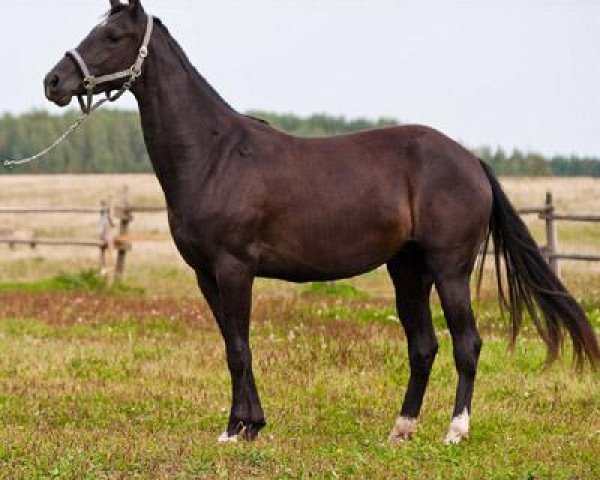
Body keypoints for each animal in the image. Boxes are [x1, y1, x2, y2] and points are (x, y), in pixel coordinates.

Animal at [44, 0, 596, 444]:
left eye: (113, 36)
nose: (53, 82)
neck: (214, 154)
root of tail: (471, 160)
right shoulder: (206, 274)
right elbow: (232, 346)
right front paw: (246, 424)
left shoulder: (233, 268)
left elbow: (239, 348)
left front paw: (238, 430)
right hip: (408, 271)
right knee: (423, 347)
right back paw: (401, 431)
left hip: (449, 268)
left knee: (467, 343)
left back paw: (455, 431)